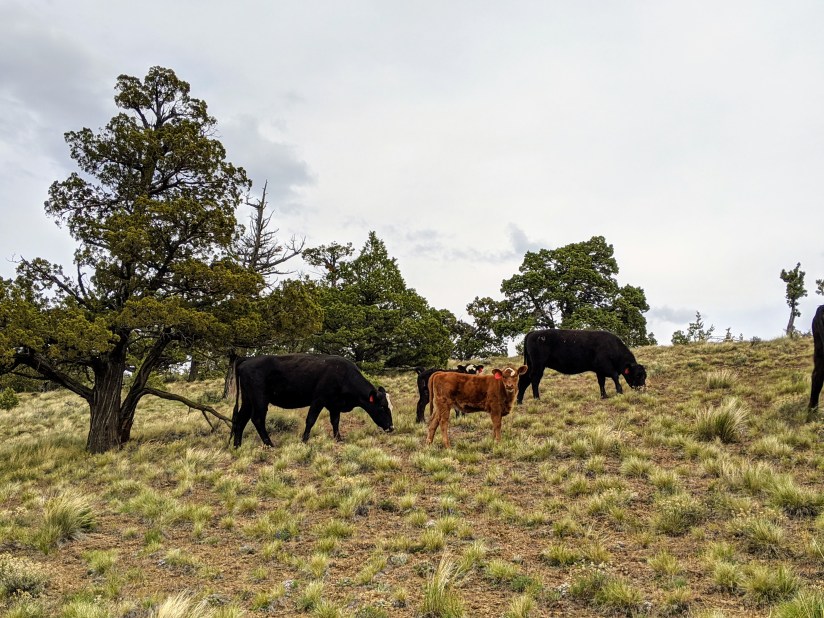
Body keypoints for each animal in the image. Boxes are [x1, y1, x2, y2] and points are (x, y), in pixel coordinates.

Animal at [231, 353, 394, 447]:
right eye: (382, 407)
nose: (391, 427)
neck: (343, 375)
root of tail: (247, 360)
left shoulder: (334, 404)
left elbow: (335, 421)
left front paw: (338, 438)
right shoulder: (318, 400)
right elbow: (310, 420)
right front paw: (304, 440)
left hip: (248, 400)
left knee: (240, 420)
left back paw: (237, 446)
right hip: (260, 400)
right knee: (257, 419)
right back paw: (270, 444)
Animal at [517, 329, 646, 402]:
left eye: (645, 376)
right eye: (638, 375)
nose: (643, 388)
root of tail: (534, 332)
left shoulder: (599, 371)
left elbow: (601, 383)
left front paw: (604, 396)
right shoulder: (607, 367)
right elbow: (615, 377)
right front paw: (619, 392)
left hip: (531, 365)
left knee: (524, 380)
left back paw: (519, 401)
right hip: (538, 365)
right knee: (534, 380)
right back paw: (537, 399)